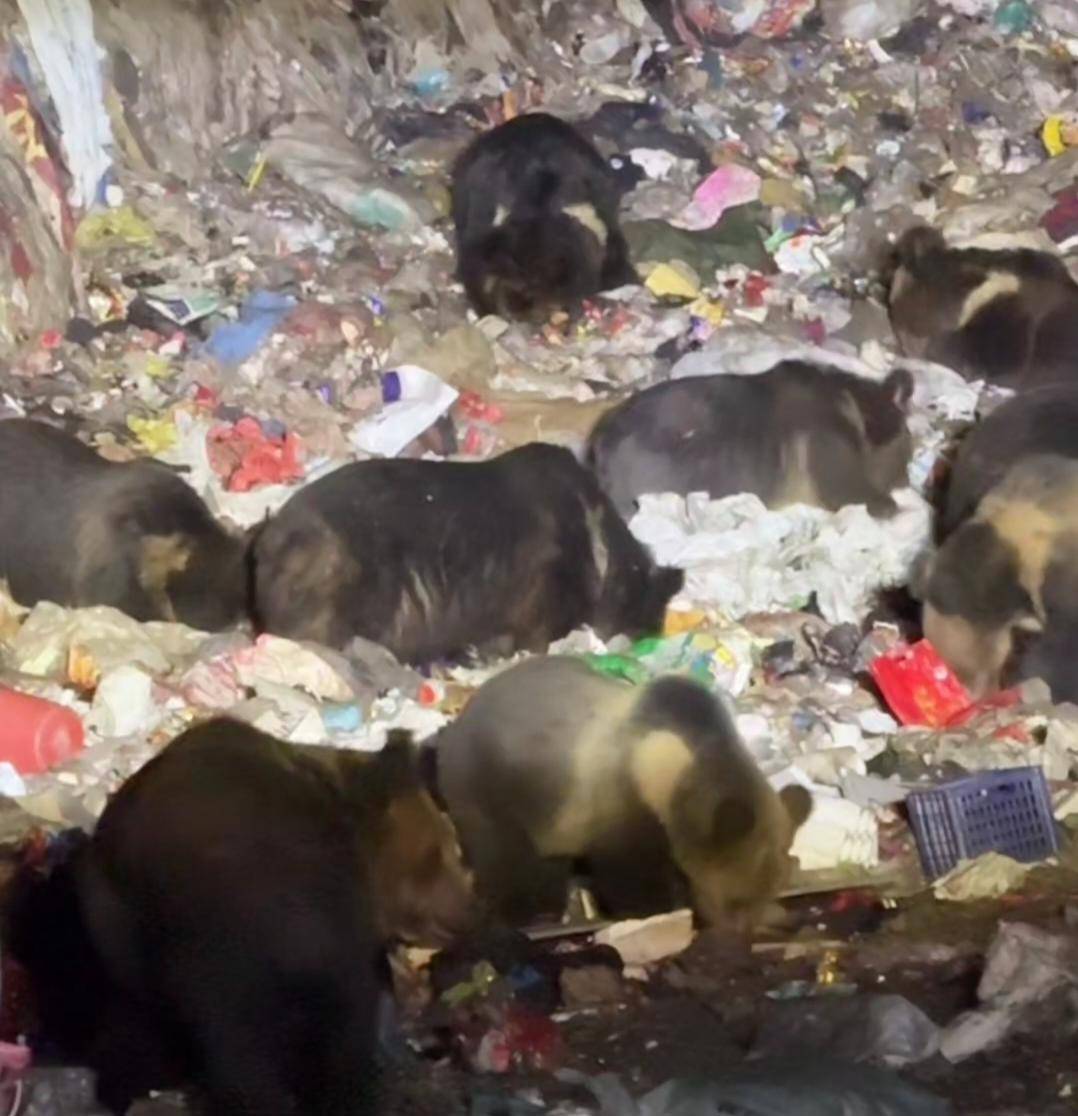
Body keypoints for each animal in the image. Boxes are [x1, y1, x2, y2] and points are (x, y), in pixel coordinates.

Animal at [430, 655, 812, 930]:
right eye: (737, 899)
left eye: (774, 888)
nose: (743, 931)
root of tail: (455, 726)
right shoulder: (622, 805)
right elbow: (630, 877)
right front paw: (658, 907)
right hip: (491, 788)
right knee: (509, 858)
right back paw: (532, 912)